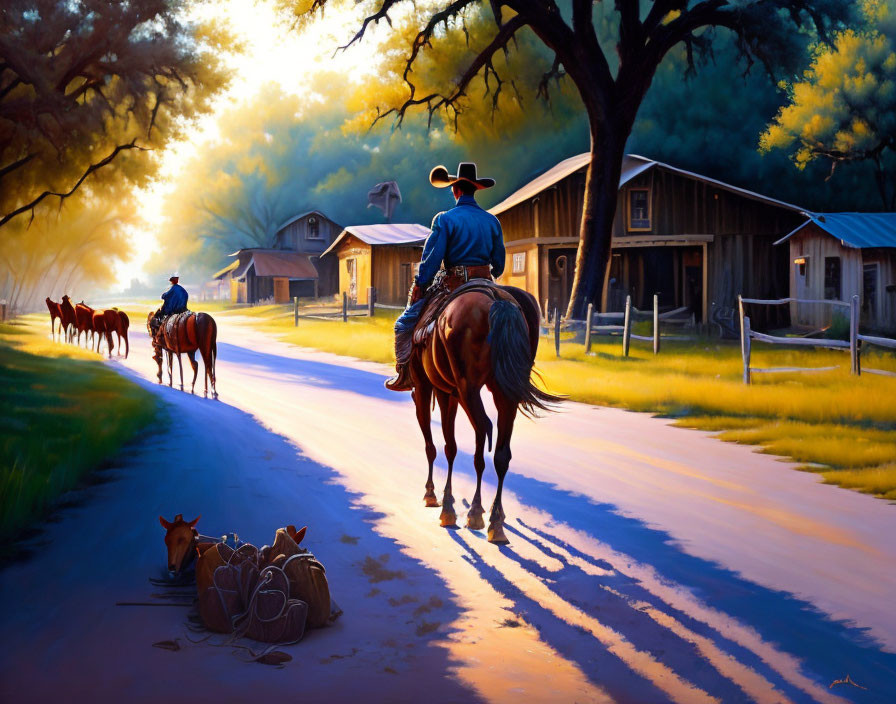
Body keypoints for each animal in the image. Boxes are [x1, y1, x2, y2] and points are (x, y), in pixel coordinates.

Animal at [408, 284, 560, 544]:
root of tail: (497, 299)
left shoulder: (433, 388)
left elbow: (443, 445)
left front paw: (437, 499)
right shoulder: (451, 392)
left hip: (466, 389)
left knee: (482, 429)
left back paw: (471, 513)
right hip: (503, 393)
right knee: (499, 451)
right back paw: (494, 521)